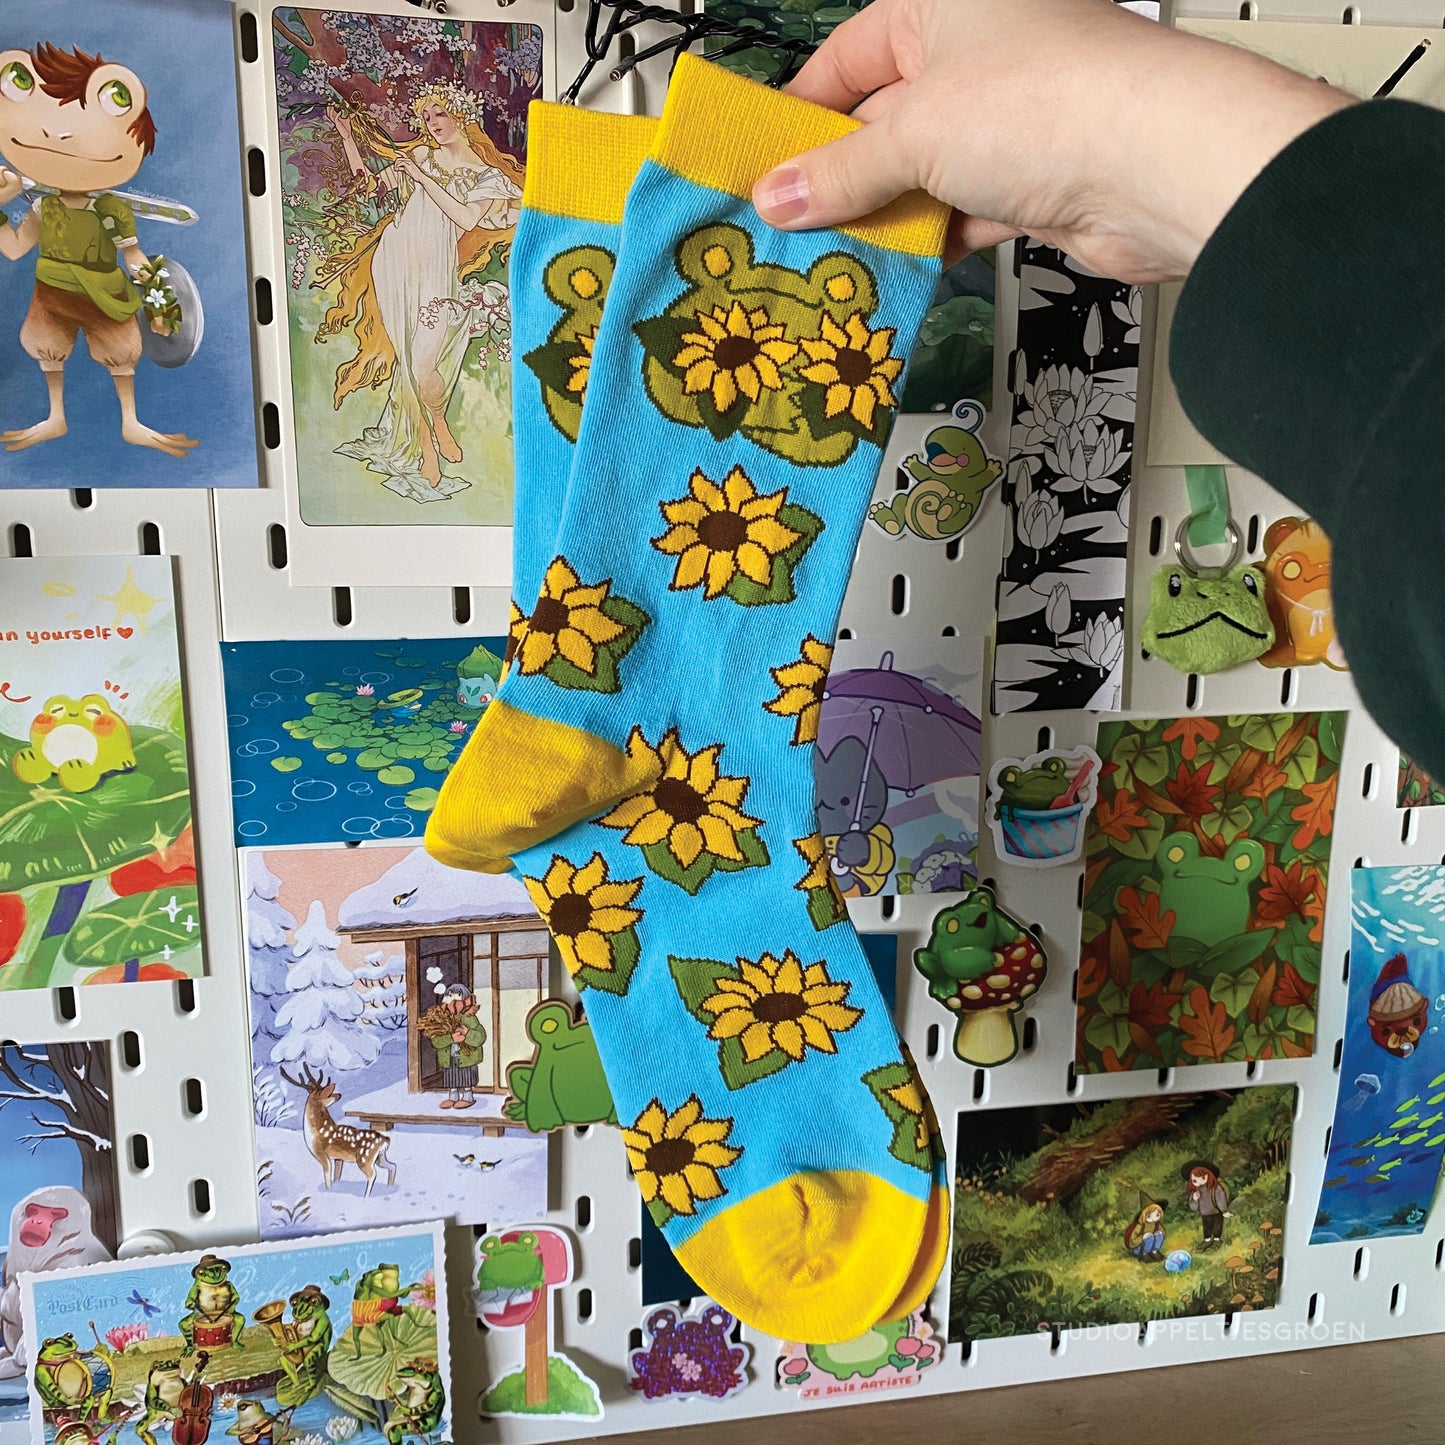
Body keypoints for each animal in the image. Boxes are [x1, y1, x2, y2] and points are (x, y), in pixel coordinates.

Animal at [277, 1063, 395, 1196]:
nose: (339, 1095)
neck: (317, 1132)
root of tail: (385, 1140)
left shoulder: (321, 1153)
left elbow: (327, 1176)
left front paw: (329, 1191)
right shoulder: (338, 1158)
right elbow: (336, 1175)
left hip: (364, 1158)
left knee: (372, 1175)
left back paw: (366, 1196)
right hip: (380, 1157)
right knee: (393, 1166)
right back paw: (389, 1188)